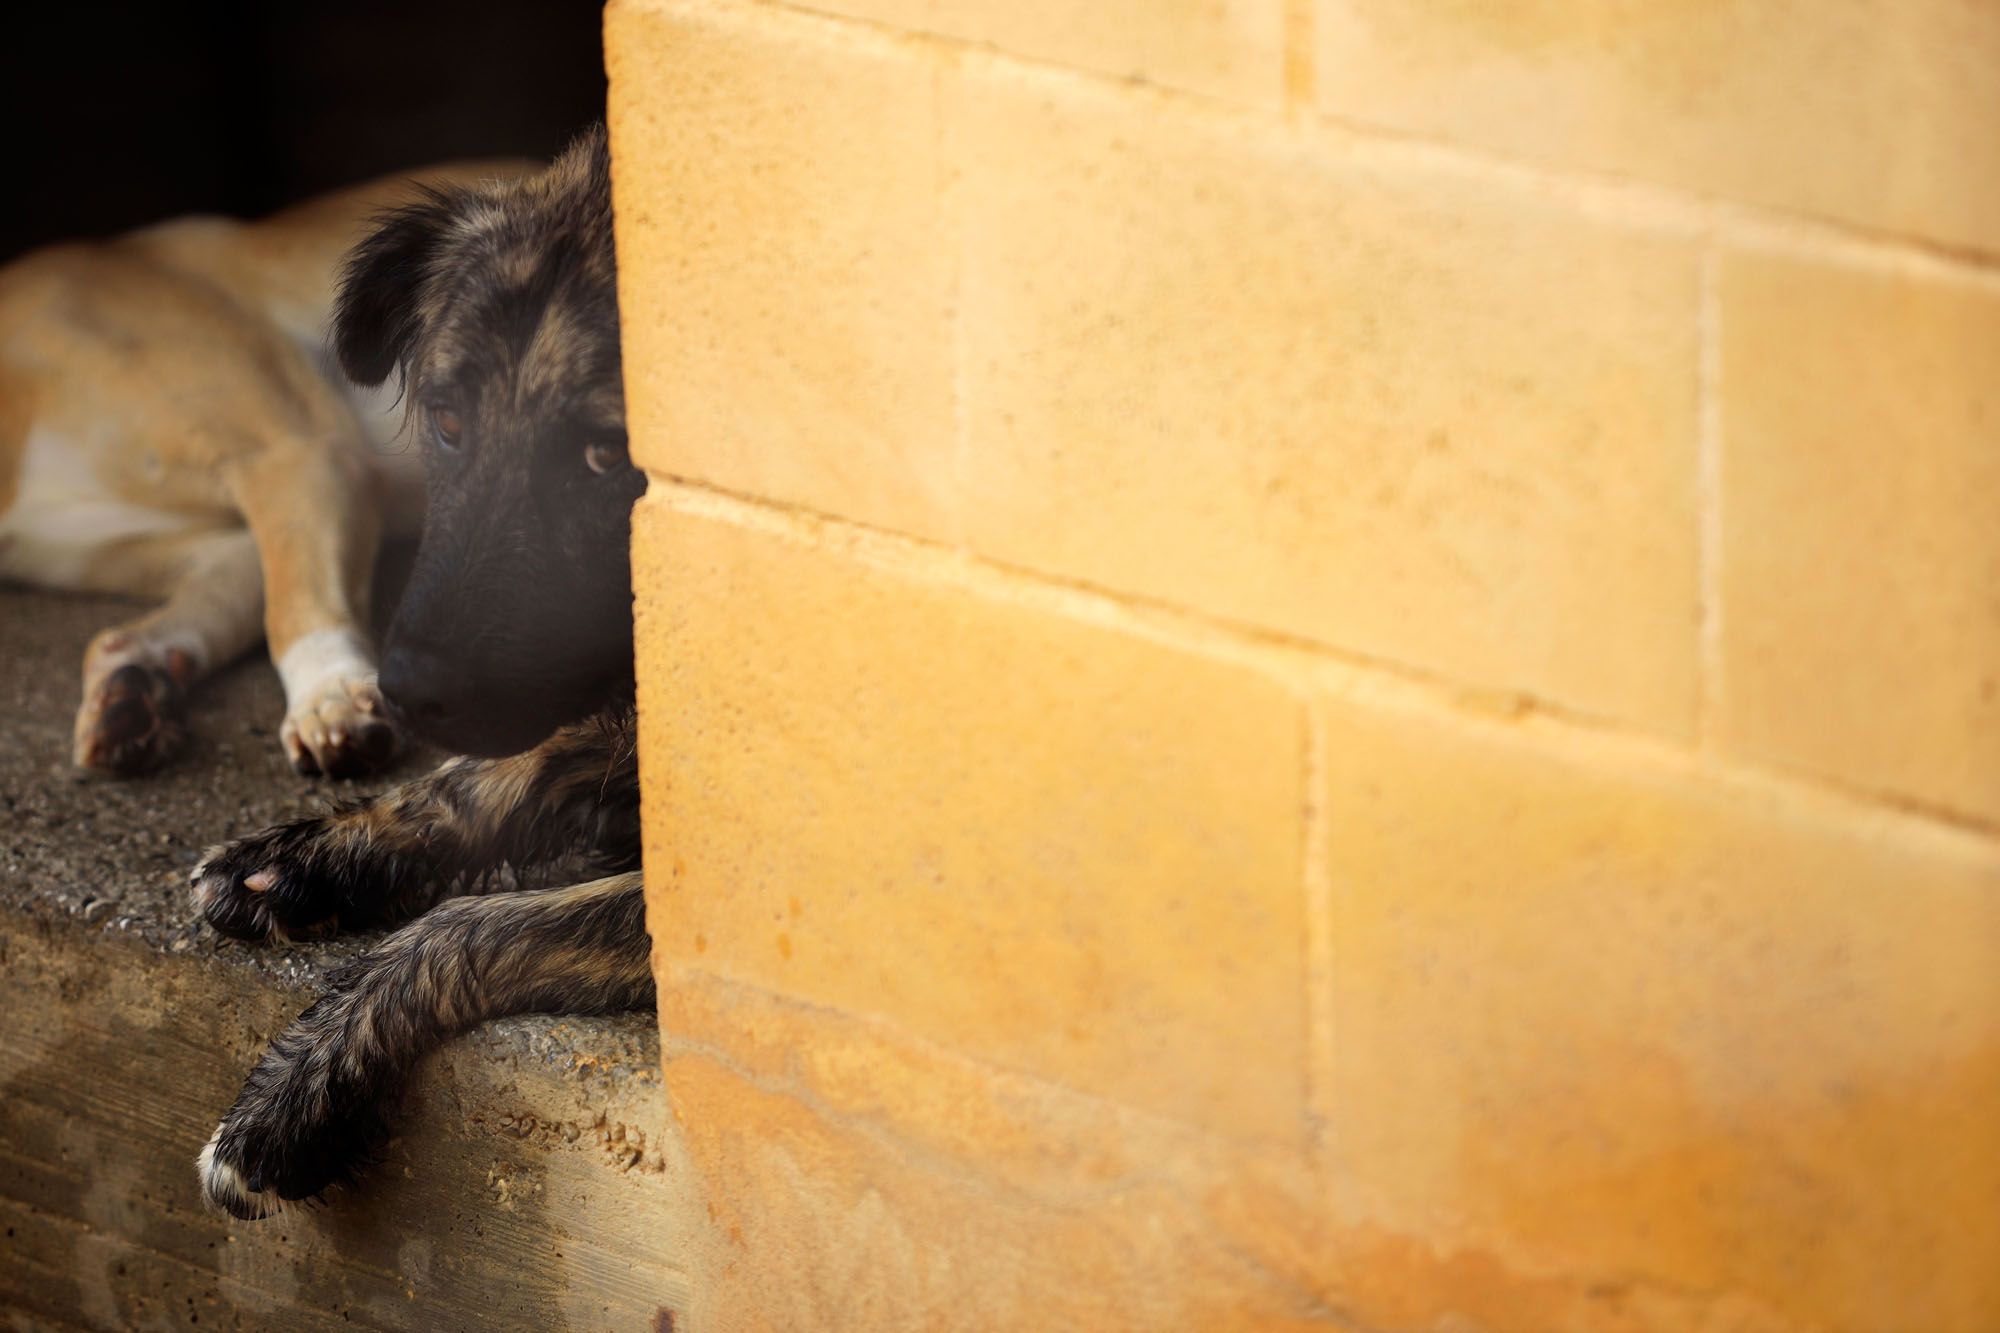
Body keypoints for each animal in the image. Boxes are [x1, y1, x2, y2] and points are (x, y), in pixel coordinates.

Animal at [185, 124, 644, 1216]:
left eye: (606, 455)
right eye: (445, 419)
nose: (408, 689)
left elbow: (471, 922)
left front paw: (292, 1093)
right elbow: (475, 780)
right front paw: (307, 856)